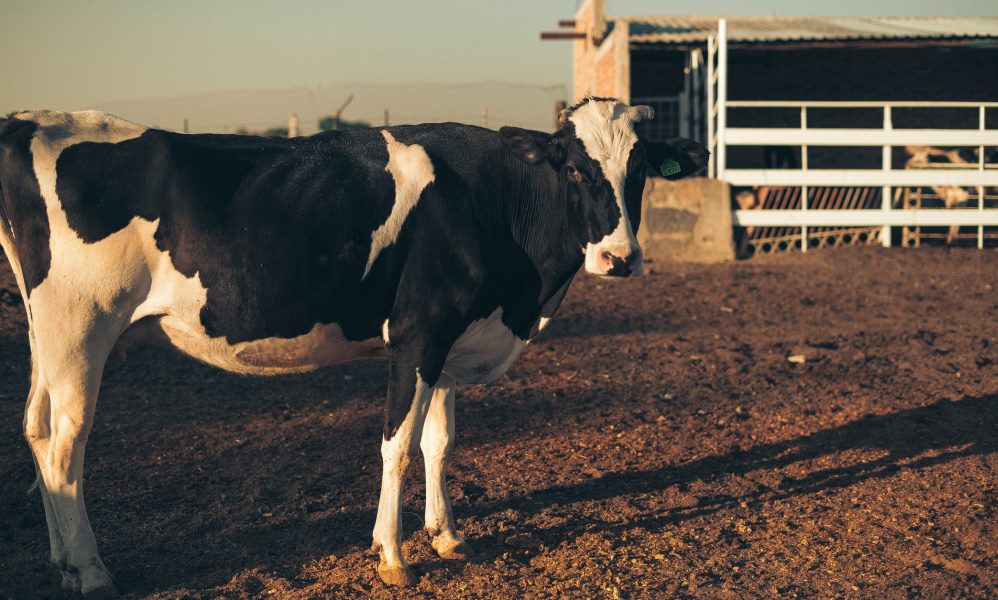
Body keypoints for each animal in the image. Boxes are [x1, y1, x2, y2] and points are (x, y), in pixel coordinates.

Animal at [0, 98, 708, 596]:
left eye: (639, 170)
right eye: (574, 167)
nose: (620, 257)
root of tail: (36, 120)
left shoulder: (452, 341)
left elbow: (439, 442)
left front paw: (446, 537)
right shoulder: (418, 332)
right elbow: (397, 446)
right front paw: (393, 557)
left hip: (47, 332)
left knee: (36, 428)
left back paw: (64, 562)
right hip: (80, 325)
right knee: (66, 443)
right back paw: (91, 571)